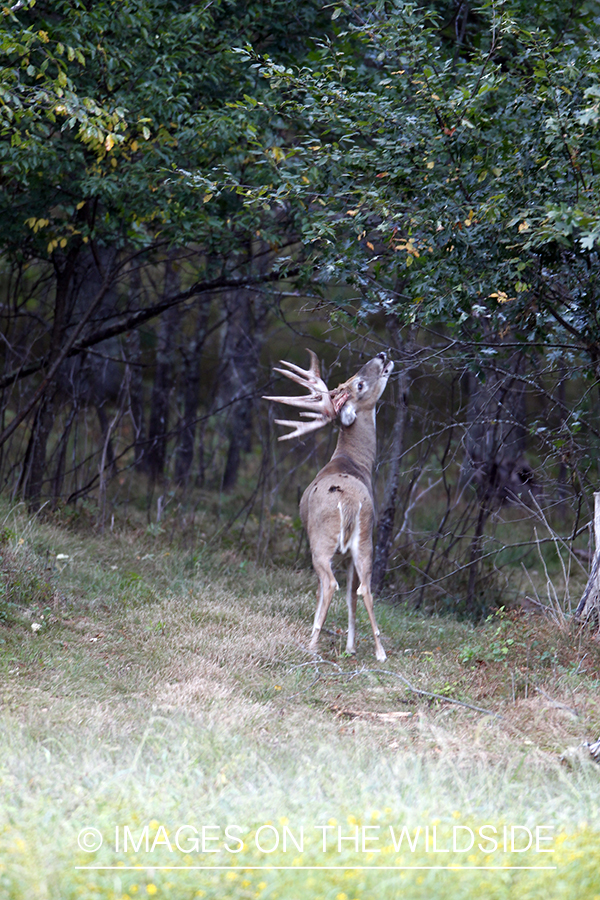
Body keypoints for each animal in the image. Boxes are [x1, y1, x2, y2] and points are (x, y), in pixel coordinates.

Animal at [264, 350, 392, 660]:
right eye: (359, 383)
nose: (382, 355)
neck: (352, 463)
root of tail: (348, 502)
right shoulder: (348, 554)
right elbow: (351, 598)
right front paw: (351, 647)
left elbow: (326, 592)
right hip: (365, 539)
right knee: (364, 589)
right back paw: (380, 652)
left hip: (321, 540)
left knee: (329, 583)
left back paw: (311, 644)